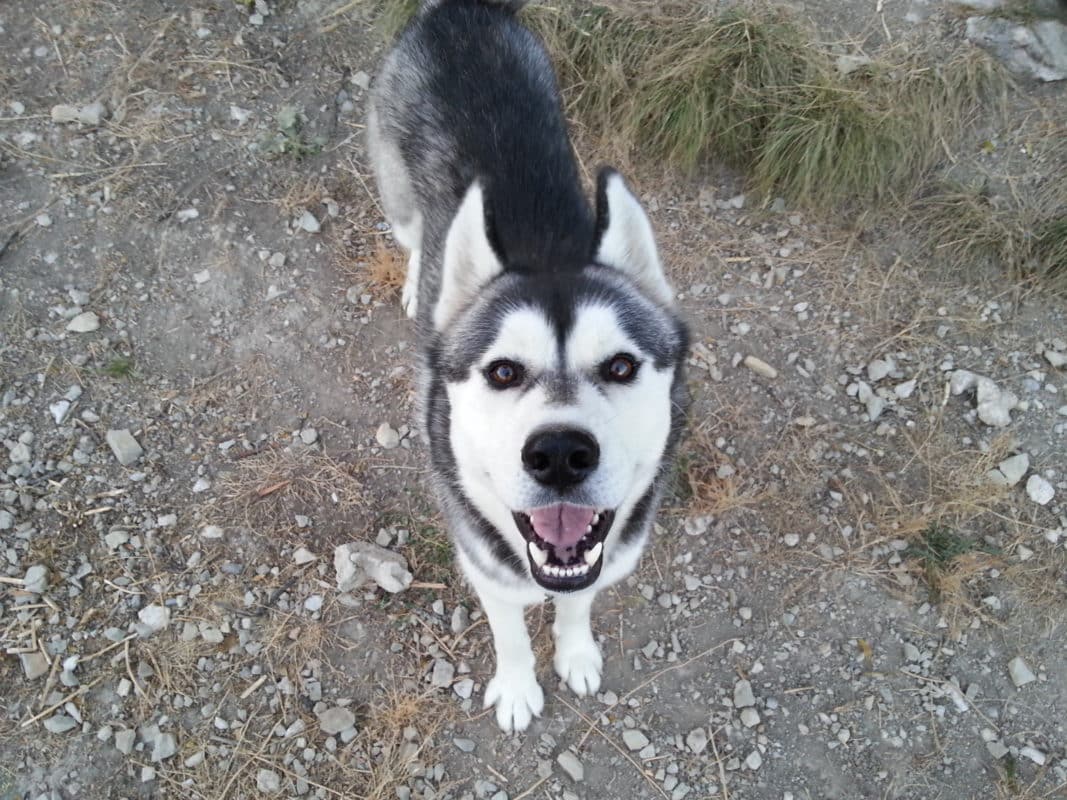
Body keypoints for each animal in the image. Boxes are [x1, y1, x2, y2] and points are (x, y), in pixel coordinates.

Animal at [371, 0, 691, 733]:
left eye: (621, 366)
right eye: (502, 372)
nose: (561, 455)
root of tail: (459, 11)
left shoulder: (598, 563)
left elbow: (576, 605)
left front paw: (575, 654)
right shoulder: (484, 568)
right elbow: (510, 633)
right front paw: (518, 689)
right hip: (397, 193)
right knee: (416, 239)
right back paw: (419, 288)